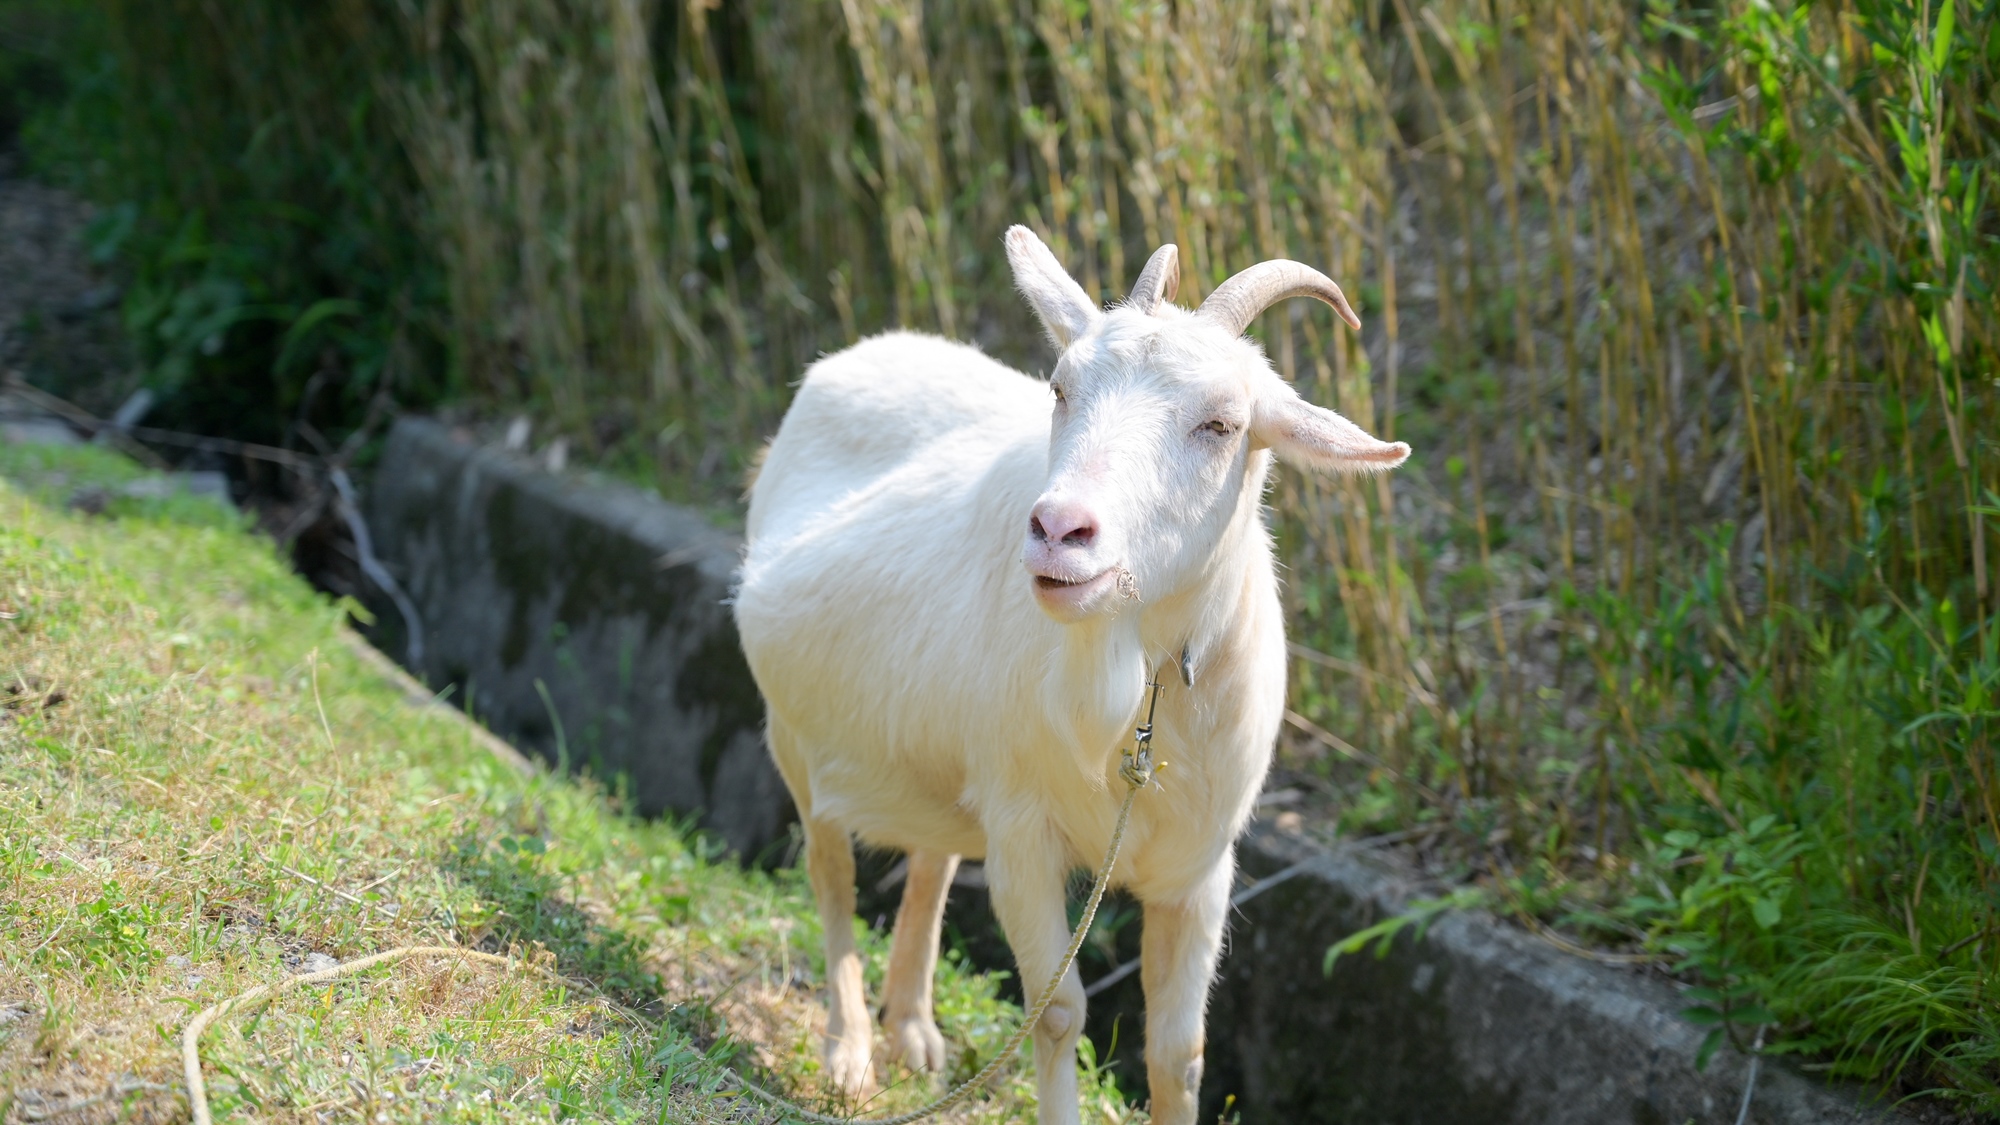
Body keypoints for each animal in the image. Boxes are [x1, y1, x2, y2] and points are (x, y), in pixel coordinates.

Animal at [736, 228, 1408, 1120]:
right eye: (1061, 388)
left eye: (1223, 423)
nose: (1060, 529)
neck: (1138, 685)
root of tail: (856, 355)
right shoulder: (1024, 830)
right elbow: (1057, 1011)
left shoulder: (1200, 866)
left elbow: (1179, 1051)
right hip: (796, 736)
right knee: (831, 871)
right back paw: (849, 1052)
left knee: (933, 860)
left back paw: (913, 1028)